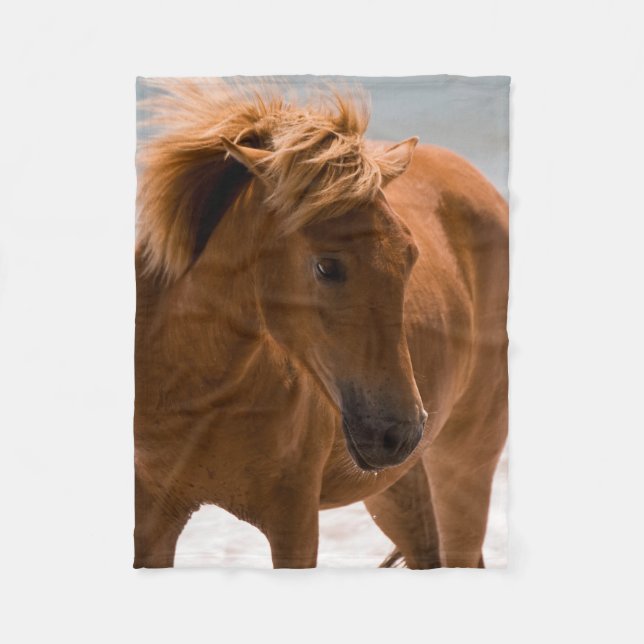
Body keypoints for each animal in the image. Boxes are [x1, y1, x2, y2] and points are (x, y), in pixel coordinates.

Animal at [133, 81, 508, 569]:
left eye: (410, 255)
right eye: (327, 267)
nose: (401, 433)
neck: (197, 394)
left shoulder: (294, 521)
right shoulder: (153, 521)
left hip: (464, 466)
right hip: (398, 493)